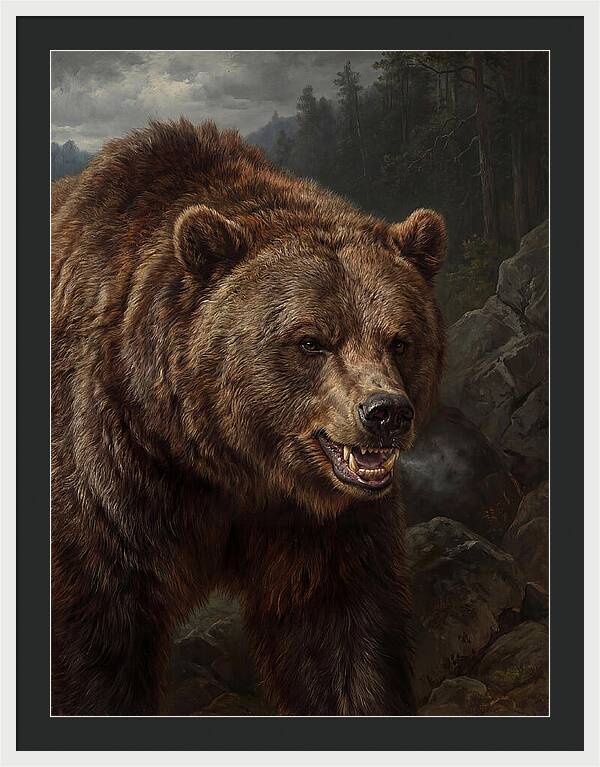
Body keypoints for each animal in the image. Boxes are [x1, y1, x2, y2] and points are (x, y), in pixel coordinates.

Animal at [51, 119, 446, 716]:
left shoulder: (321, 525)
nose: (385, 413)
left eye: (399, 340)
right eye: (312, 341)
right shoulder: (109, 473)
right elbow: (97, 638)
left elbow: (341, 639)